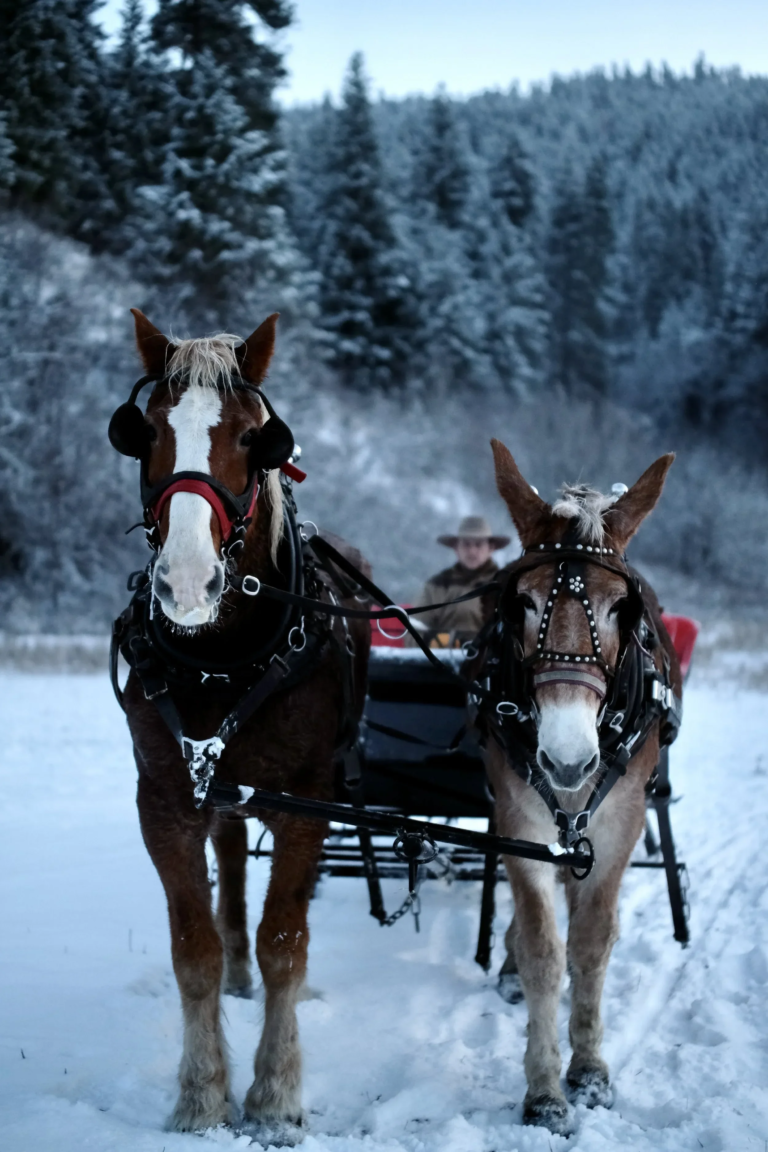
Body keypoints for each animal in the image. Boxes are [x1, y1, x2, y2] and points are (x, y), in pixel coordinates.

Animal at [110, 309, 370, 1141]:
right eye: (144, 432)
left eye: (259, 437)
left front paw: (276, 1093)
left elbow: (286, 940)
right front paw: (200, 1095)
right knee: (229, 863)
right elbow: (192, 949)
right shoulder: (165, 798)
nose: (188, 583)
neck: (222, 658)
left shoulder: (308, 800)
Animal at [478, 440, 682, 1135]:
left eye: (622, 607)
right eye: (521, 603)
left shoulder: (619, 825)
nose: (568, 760)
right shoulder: (521, 820)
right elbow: (544, 949)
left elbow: (591, 944)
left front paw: (589, 1067)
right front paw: (543, 1091)